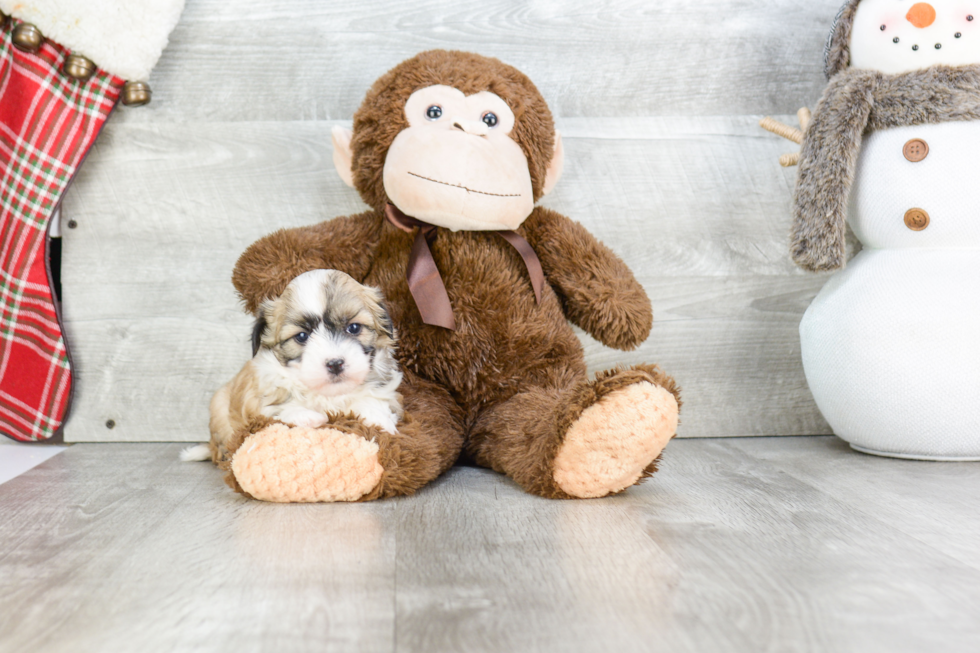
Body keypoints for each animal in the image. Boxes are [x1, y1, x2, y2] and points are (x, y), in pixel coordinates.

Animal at [182, 270, 400, 464]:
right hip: (219, 405)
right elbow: (278, 408)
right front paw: (308, 416)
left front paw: (380, 420)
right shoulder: (261, 398)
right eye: (302, 336)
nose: (335, 363)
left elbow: (372, 400)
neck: (327, 395)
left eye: (354, 328)